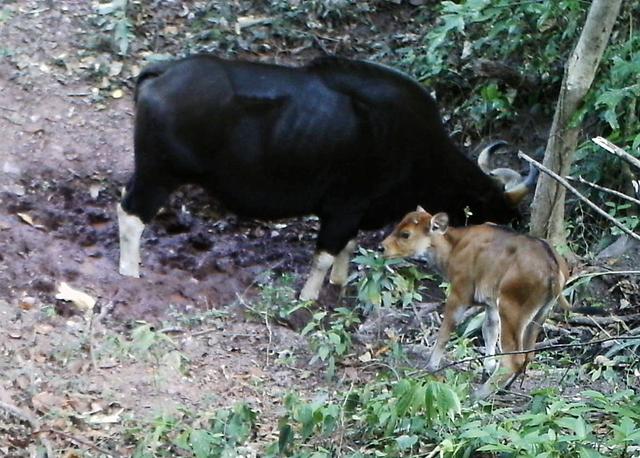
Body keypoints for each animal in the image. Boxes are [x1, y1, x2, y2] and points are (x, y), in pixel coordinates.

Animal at [117, 55, 536, 300]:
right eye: (494, 210)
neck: (419, 147)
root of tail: (162, 71)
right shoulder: (344, 207)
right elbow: (325, 253)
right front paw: (307, 298)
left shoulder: (353, 212)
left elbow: (347, 247)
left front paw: (338, 283)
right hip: (159, 173)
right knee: (131, 215)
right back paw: (129, 274)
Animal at [380, 208, 568, 398]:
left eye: (405, 234)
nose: (381, 247)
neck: (454, 246)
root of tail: (553, 267)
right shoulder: (490, 304)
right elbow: (489, 330)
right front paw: (488, 367)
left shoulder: (459, 295)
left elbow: (445, 332)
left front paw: (431, 367)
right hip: (539, 314)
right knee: (528, 353)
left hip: (511, 310)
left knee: (513, 358)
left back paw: (478, 395)